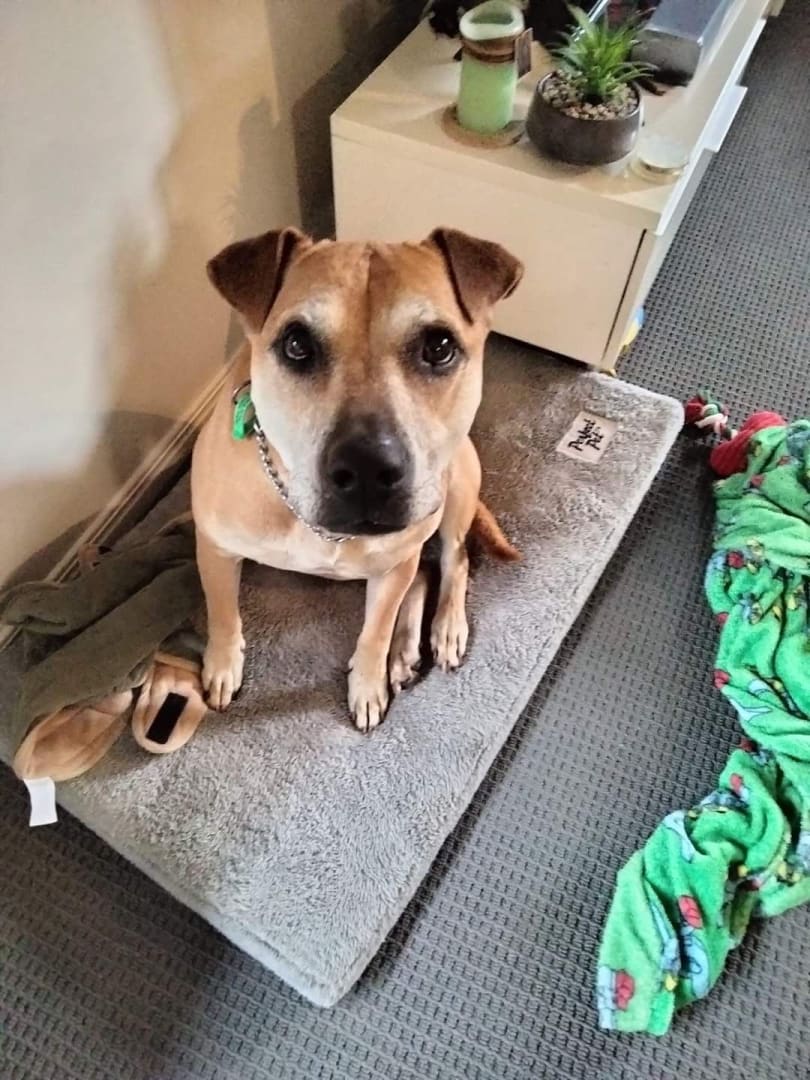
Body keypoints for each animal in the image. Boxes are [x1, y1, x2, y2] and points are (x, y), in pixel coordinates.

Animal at [191, 226, 522, 731]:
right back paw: (404, 653)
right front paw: (223, 665)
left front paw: (367, 684)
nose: (368, 470)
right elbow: (223, 613)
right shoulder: (215, 548)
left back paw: (443, 629)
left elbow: (373, 633)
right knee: (422, 574)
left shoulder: (390, 569)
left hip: (456, 489)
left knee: (452, 560)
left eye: (439, 347)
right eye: (296, 345)